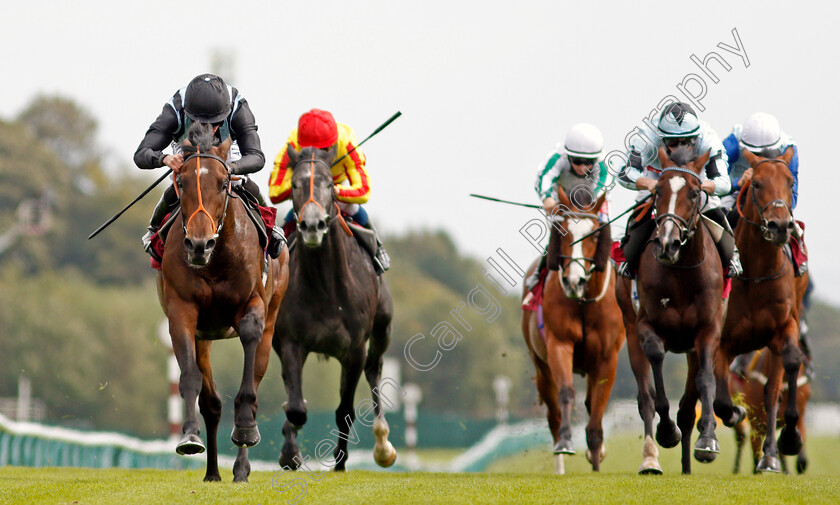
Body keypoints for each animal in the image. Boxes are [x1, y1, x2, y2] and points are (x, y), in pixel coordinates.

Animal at [157, 122, 288, 480]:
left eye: (223, 183)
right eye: (182, 182)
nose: (199, 244)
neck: (215, 261)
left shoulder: (253, 304)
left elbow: (249, 354)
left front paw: (244, 428)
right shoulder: (182, 311)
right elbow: (190, 377)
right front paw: (189, 436)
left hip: (273, 317)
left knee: (255, 374)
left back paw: (241, 465)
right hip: (205, 336)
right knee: (211, 403)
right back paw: (213, 471)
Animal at [272, 144, 398, 470]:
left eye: (329, 184)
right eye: (295, 184)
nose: (312, 225)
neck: (324, 287)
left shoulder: (353, 350)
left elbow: (345, 411)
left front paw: (340, 462)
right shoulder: (291, 341)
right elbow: (295, 407)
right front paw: (289, 453)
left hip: (382, 329)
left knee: (374, 369)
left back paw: (383, 444)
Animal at [520, 186, 628, 472]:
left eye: (595, 235)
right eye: (563, 231)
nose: (574, 281)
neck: (582, 303)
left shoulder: (606, 358)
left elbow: (597, 410)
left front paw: (596, 457)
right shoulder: (559, 345)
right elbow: (566, 393)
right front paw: (566, 442)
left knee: (590, 403)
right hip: (541, 366)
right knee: (554, 413)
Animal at [612, 146, 724, 472]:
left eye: (695, 192)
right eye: (658, 191)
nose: (667, 243)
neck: (682, 273)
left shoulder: (708, 330)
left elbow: (706, 380)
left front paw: (708, 440)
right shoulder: (645, 325)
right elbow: (656, 361)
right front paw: (666, 431)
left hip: (691, 347)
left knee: (687, 409)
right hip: (629, 329)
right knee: (645, 397)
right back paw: (650, 458)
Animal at [712, 146, 812, 472]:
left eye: (790, 182)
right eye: (756, 184)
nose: (780, 226)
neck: (756, 273)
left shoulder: (784, 328)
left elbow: (787, 369)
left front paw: (788, 440)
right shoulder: (723, 342)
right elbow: (722, 402)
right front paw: (733, 414)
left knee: (771, 393)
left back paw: (771, 454)